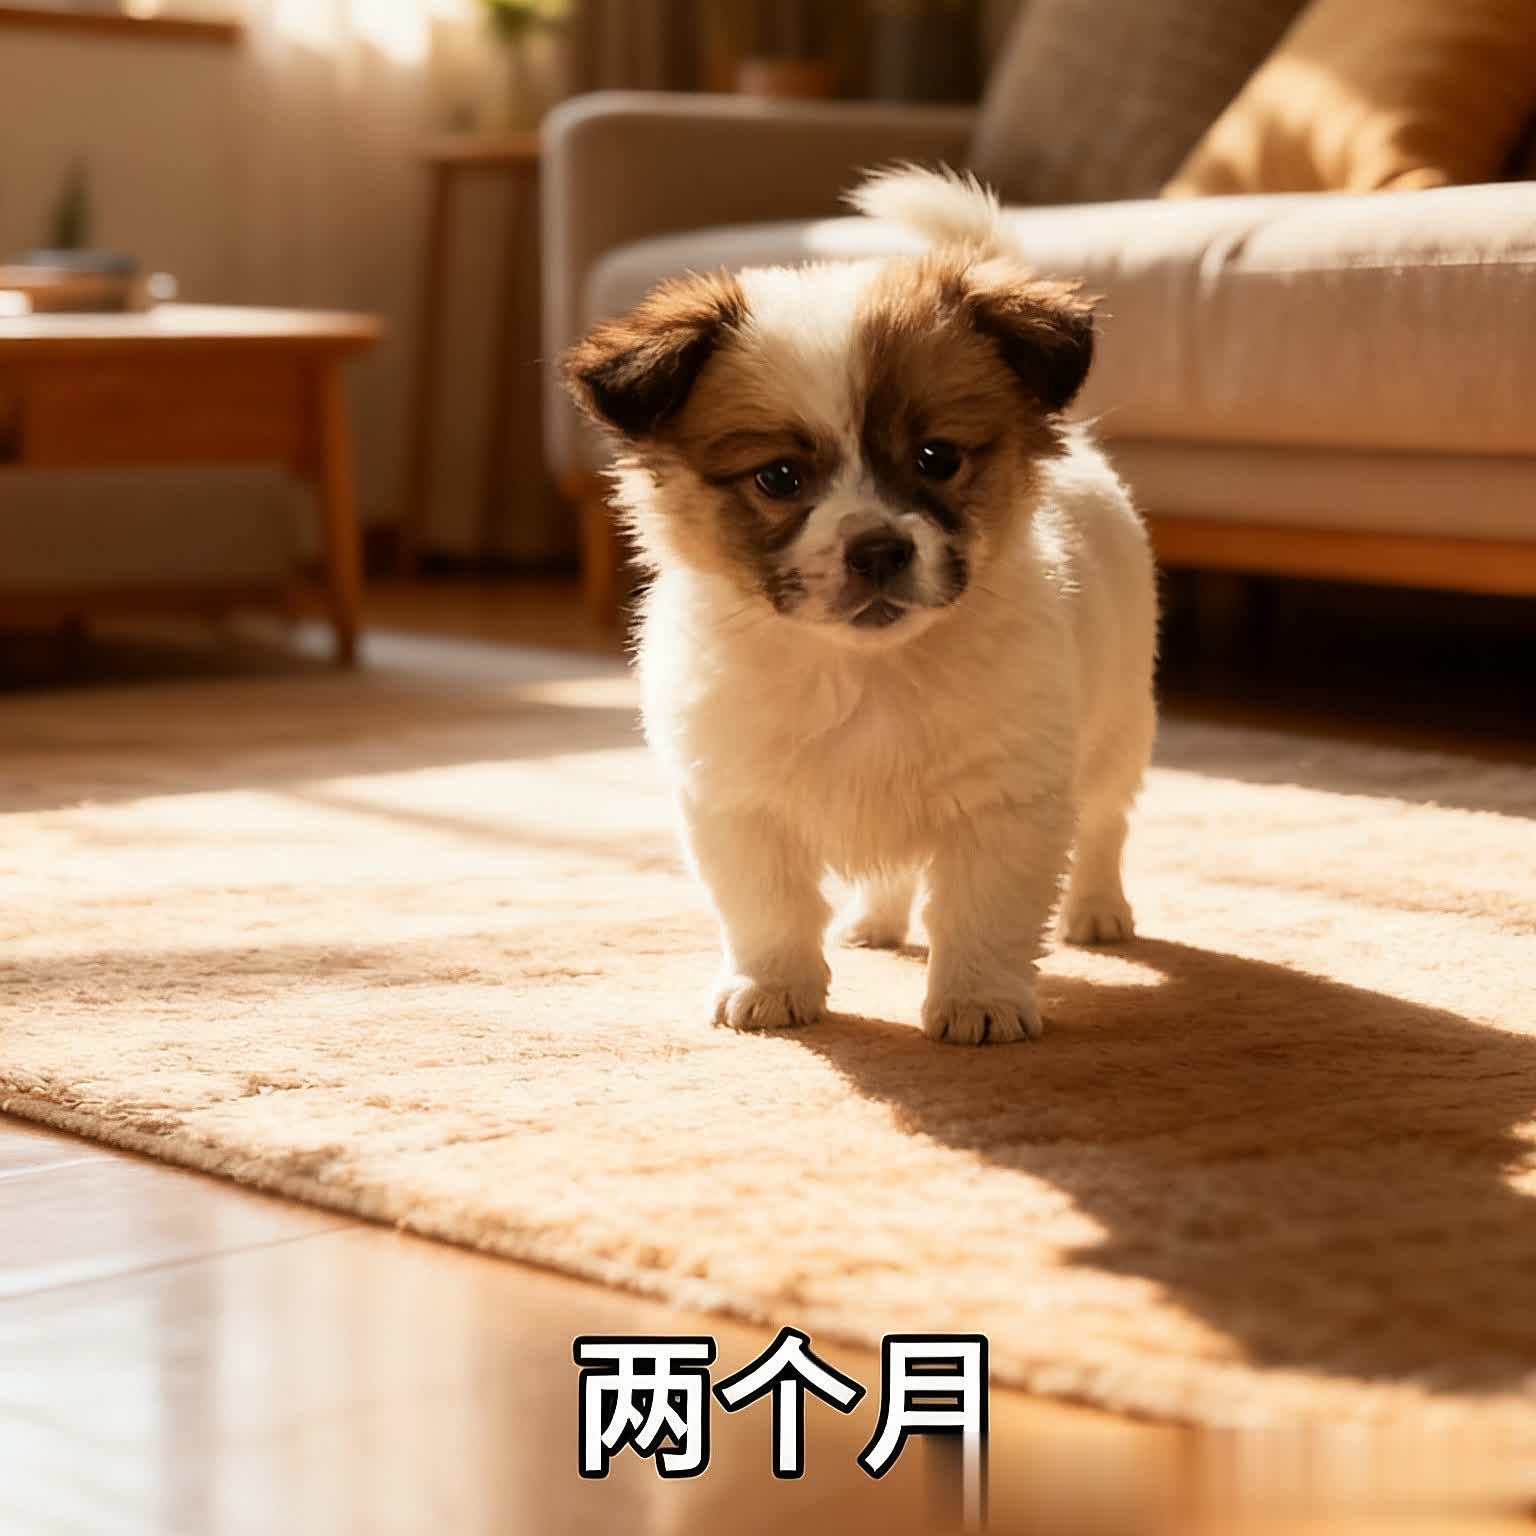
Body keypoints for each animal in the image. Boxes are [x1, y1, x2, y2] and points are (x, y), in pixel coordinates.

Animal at [562, 166, 1157, 1045]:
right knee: (894, 874)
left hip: (1118, 724)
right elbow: (767, 908)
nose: (878, 548)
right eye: (778, 477)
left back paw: (1099, 910)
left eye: (937, 458)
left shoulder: (1005, 802)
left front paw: (978, 1002)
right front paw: (772, 988)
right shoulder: (739, 801)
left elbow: (982, 914)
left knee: (1106, 824)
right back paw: (874, 923)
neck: (863, 672)